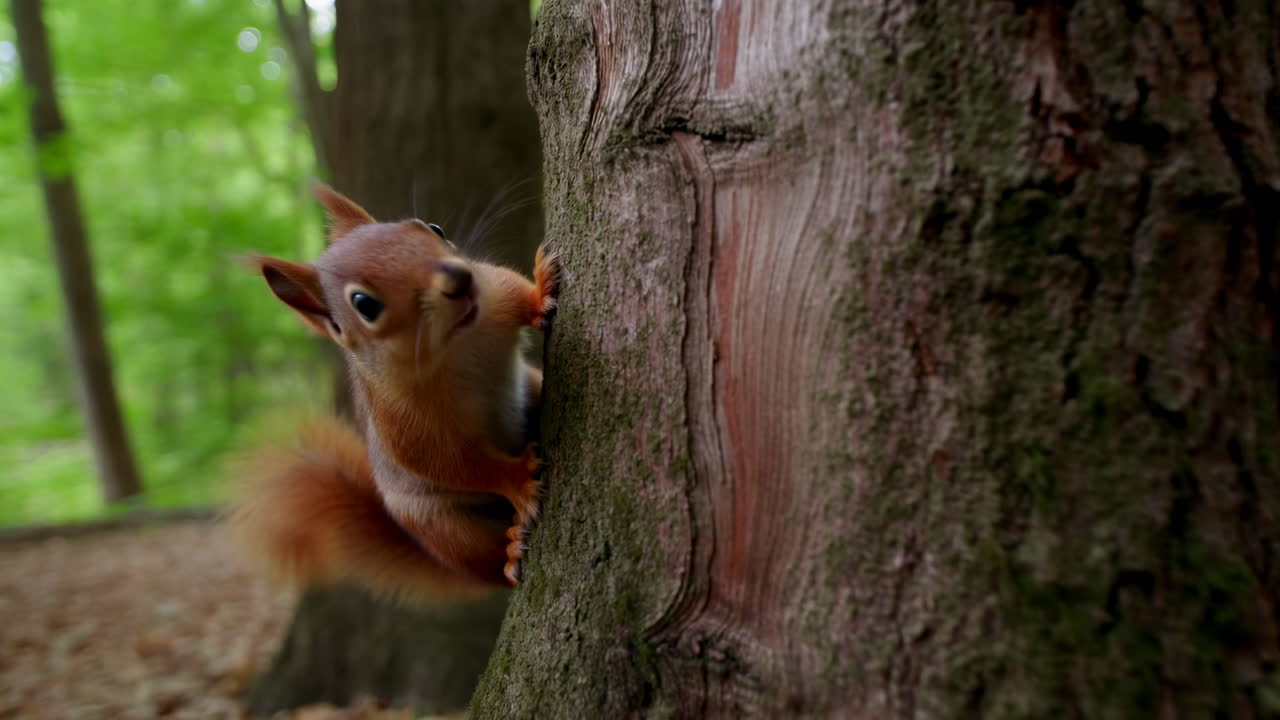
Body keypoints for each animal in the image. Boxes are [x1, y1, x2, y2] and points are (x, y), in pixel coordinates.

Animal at [229, 183, 560, 601]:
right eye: (364, 304)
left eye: (433, 228)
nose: (459, 278)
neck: (459, 342)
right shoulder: (405, 425)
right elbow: (457, 463)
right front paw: (517, 478)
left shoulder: (493, 292)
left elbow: (513, 289)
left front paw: (541, 290)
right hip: (444, 530)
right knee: (484, 562)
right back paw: (510, 553)